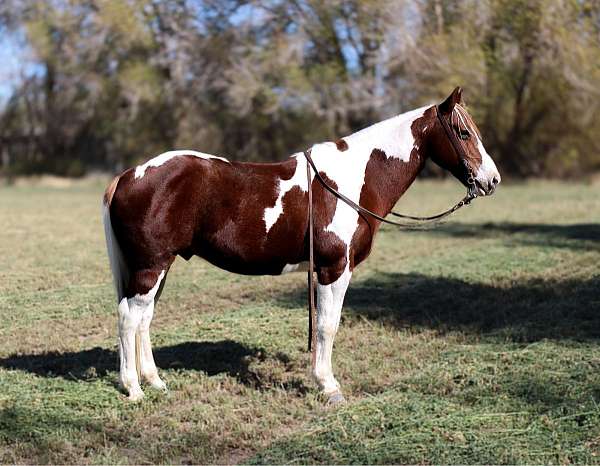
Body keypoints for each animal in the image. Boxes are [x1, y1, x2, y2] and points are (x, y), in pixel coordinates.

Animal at [103, 88, 502, 404]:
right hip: (150, 266)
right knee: (128, 317)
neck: (351, 180)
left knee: (143, 319)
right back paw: (133, 389)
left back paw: (155, 382)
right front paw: (328, 386)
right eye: (463, 132)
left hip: (159, 266)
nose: (492, 180)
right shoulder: (333, 269)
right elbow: (327, 325)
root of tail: (127, 175)